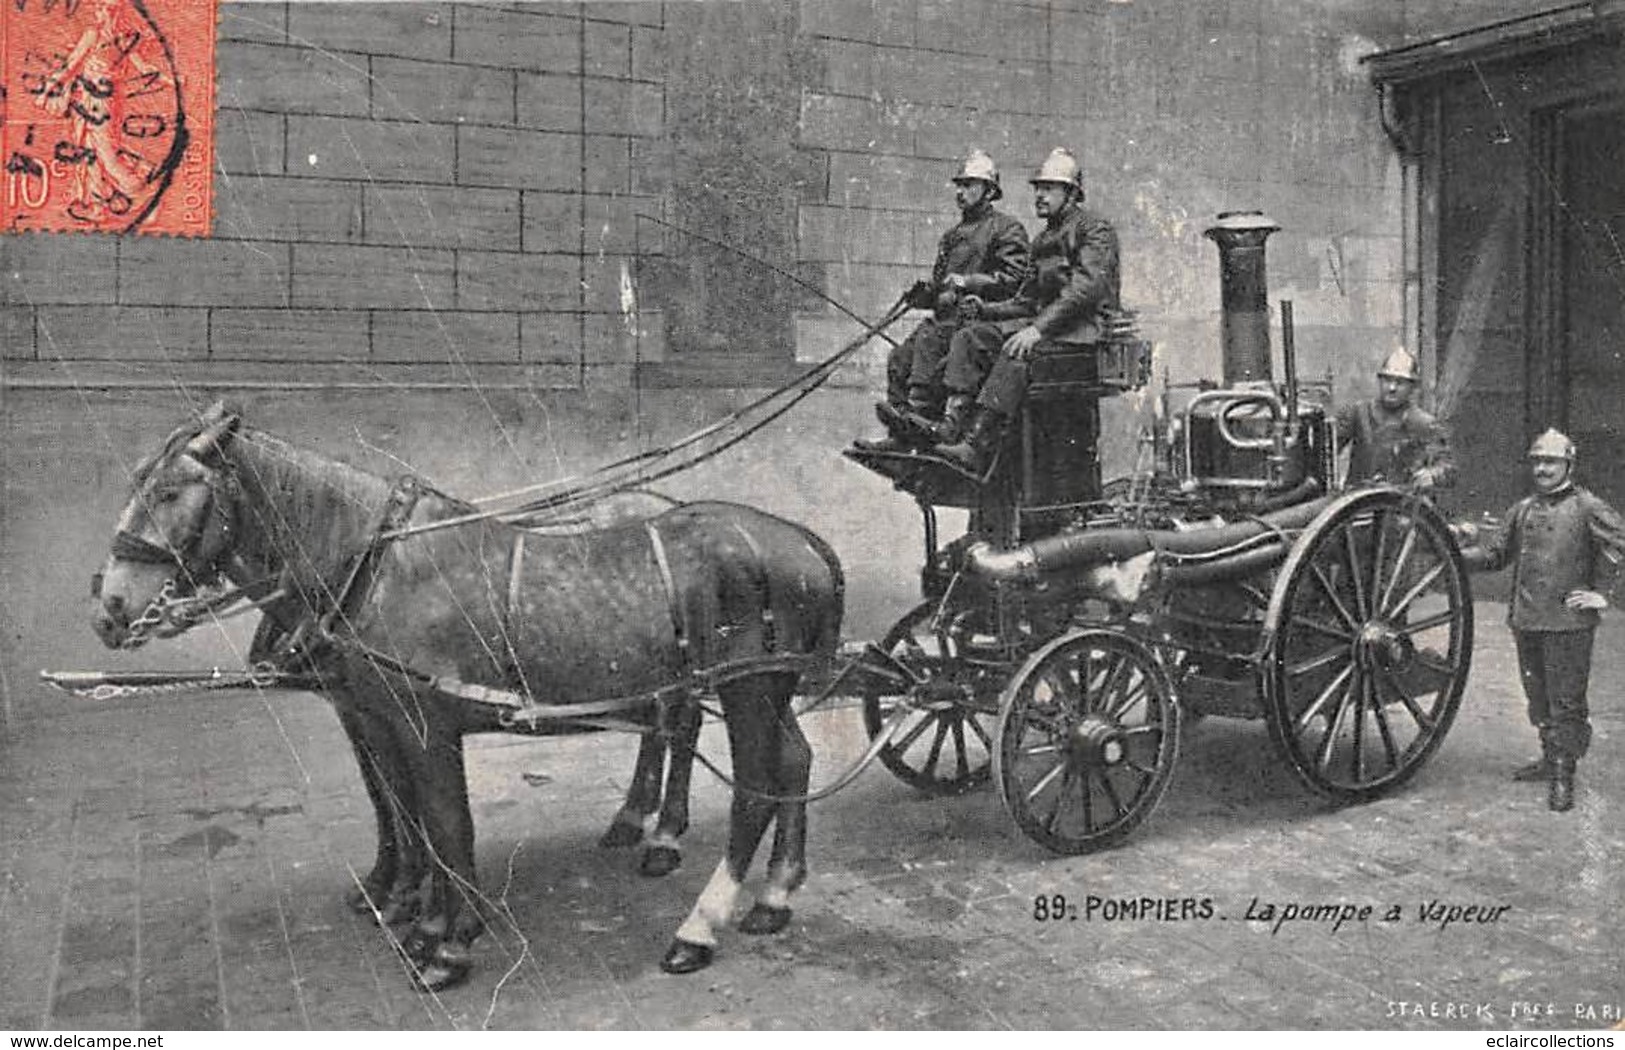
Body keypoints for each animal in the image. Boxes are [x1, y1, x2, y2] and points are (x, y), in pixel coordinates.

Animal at [93, 401, 845, 988]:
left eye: (171, 492)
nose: (109, 607)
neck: (373, 566)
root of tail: (805, 542)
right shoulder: (376, 717)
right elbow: (405, 813)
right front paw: (415, 913)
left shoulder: (423, 725)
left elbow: (445, 823)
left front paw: (449, 942)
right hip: (760, 690)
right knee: (789, 760)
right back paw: (772, 892)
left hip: (748, 689)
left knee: (751, 788)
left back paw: (697, 923)